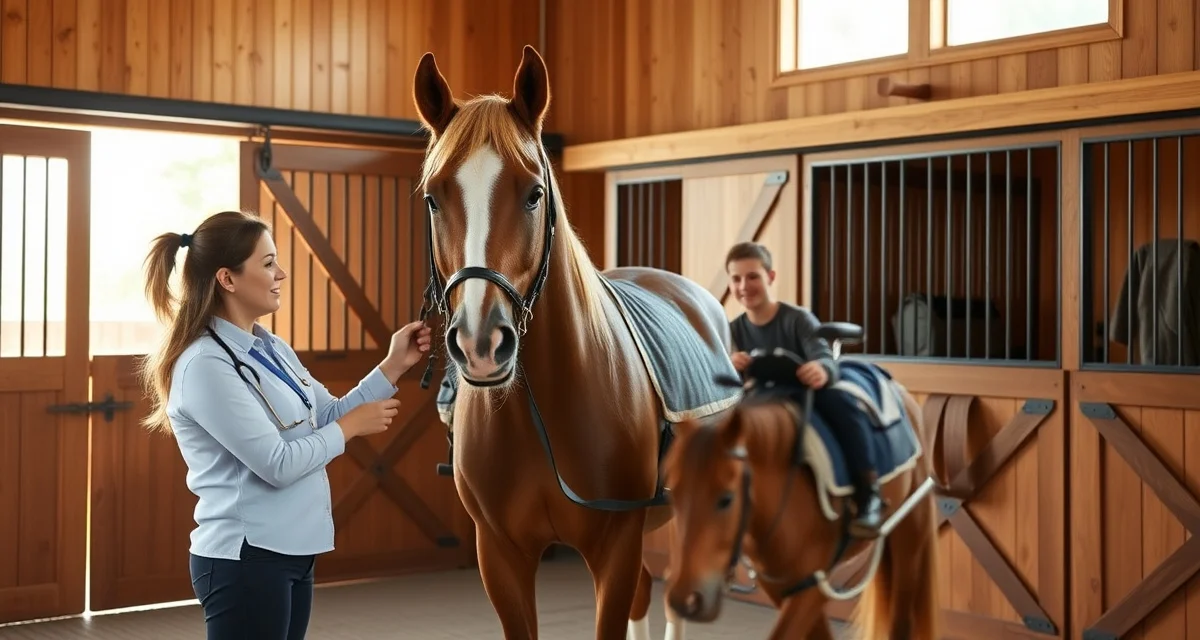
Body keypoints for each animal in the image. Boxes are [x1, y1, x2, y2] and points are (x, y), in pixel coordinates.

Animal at [410, 46, 744, 639]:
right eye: (432, 198)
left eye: (534, 194)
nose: (481, 343)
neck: (538, 414)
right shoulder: (500, 556)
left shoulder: (615, 547)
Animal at [659, 324, 941, 640]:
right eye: (674, 495)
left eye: (726, 499)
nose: (684, 600)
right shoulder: (782, 585)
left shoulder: (814, 585)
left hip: (911, 531)